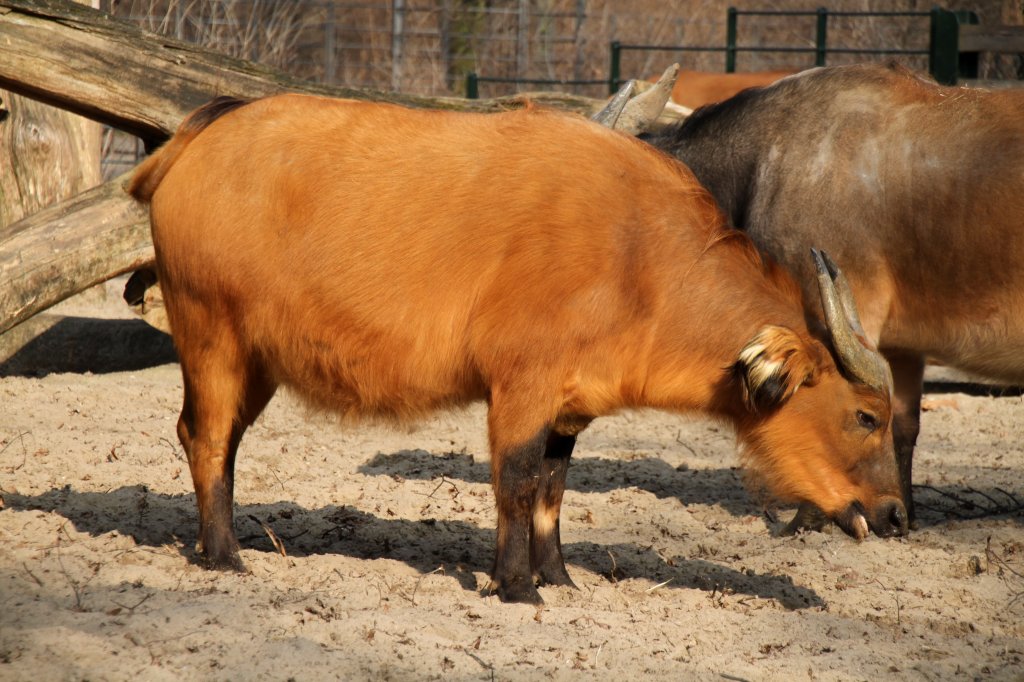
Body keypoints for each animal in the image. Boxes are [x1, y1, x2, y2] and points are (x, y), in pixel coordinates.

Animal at [125, 91, 905, 602]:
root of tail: (199, 134)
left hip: (255, 360)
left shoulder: (569, 407)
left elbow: (554, 488)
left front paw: (557, 577)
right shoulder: (519, 391)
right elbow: (516, 482)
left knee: (219, 442)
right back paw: (225, 557)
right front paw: (517, 586)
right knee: (203, 435)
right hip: (211, 337)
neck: (639, 256)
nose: (898, 515)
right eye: (867, 415)